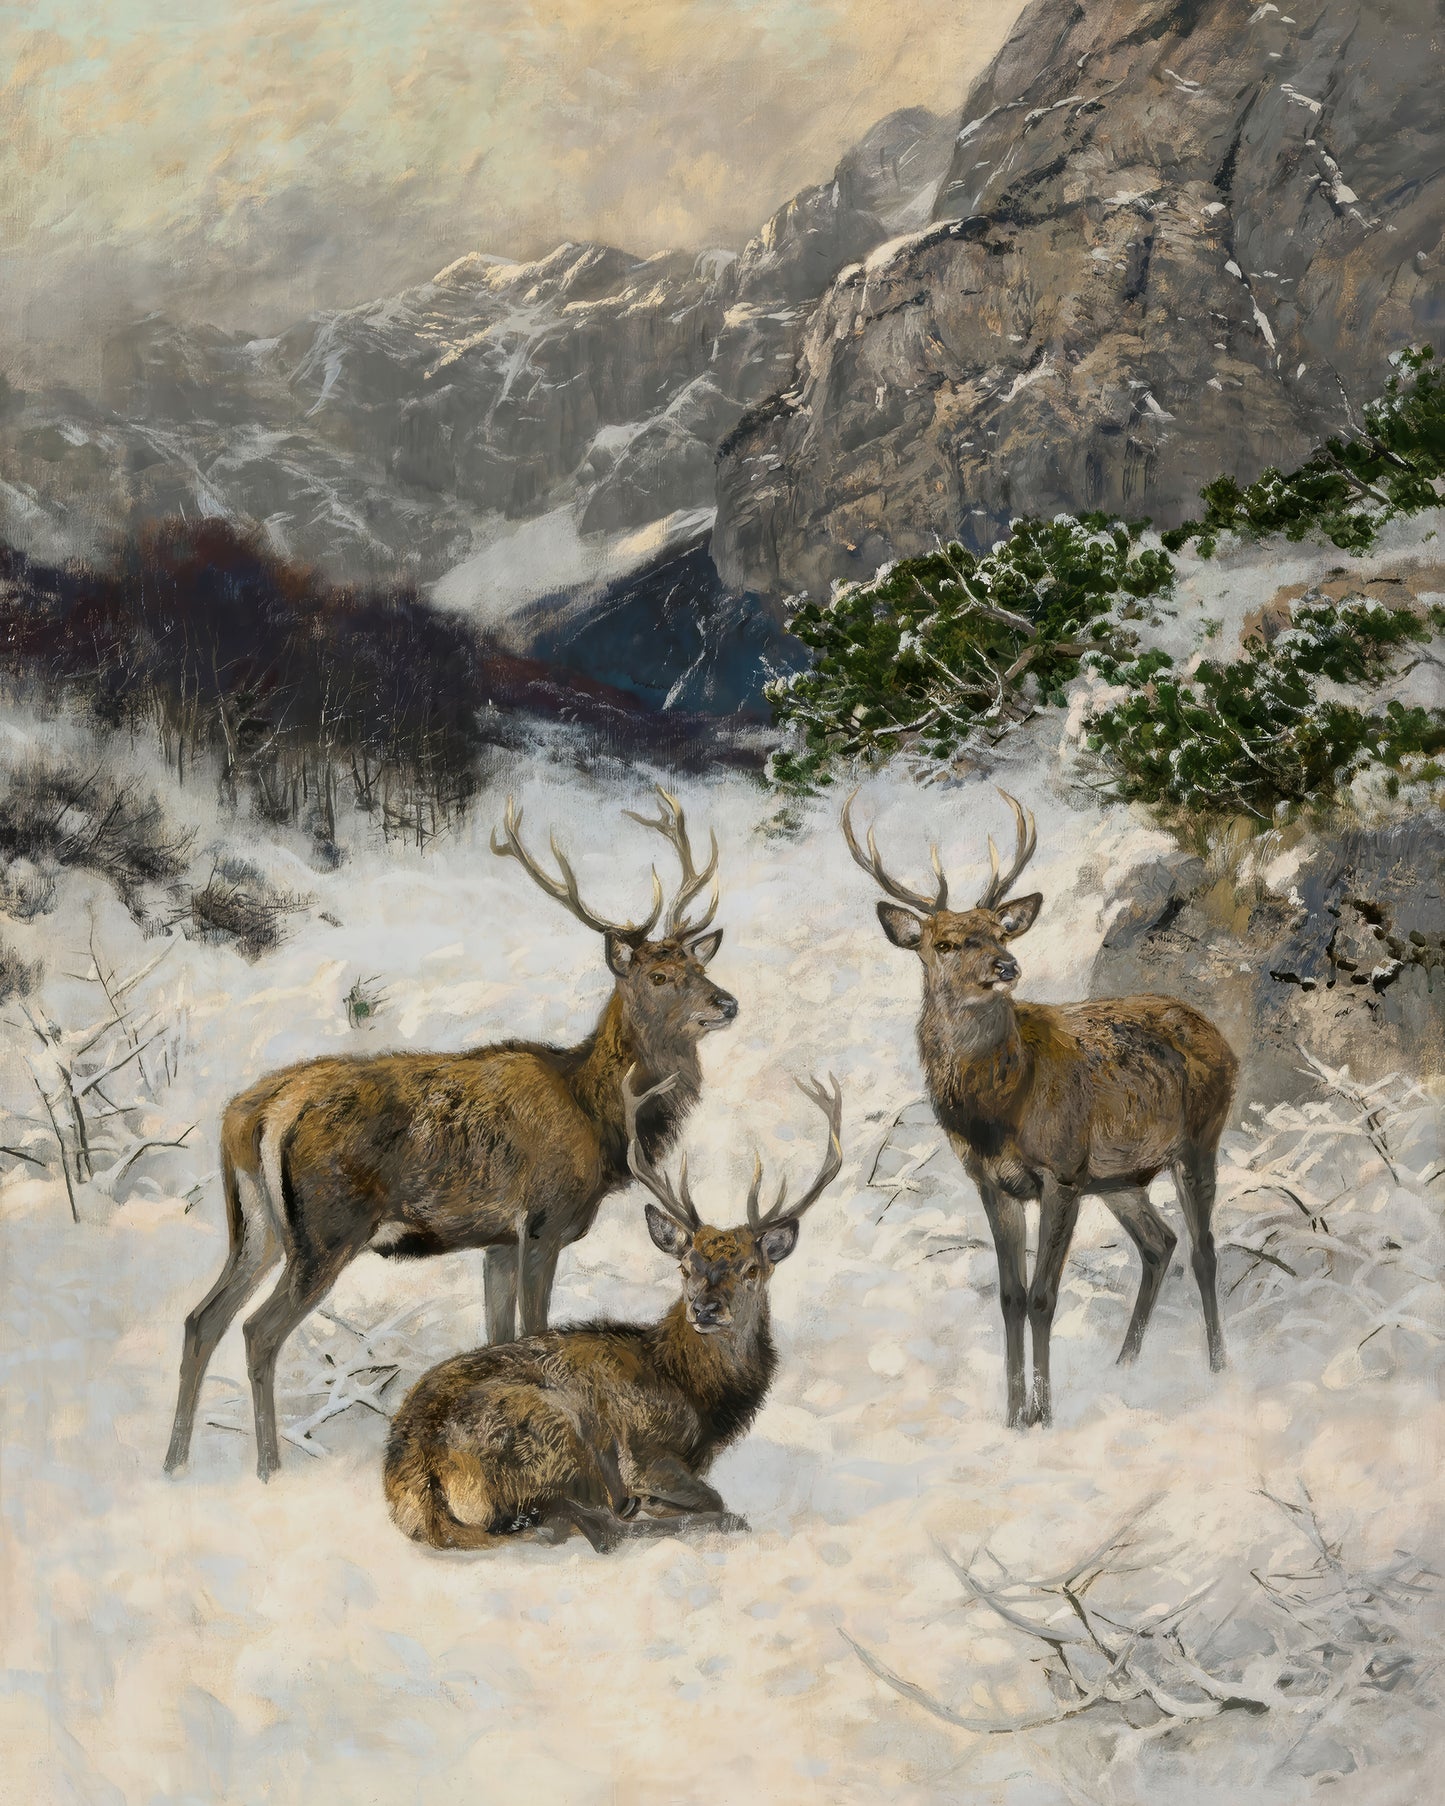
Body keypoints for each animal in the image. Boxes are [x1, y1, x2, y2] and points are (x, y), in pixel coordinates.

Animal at [165, 787, 737, 1482]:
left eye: (695, 964)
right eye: (657, 976)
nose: (727, 1003)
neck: (598, 1122)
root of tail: (254, 1113)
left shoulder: (495, 1241)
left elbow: (499, 1340)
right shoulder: (543, 1221)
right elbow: (536, 1333)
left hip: (256, 1228)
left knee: (202, 1319)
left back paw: (174, 1463)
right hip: (326, 1229)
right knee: (258, 1332)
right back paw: (269, 1470)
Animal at [383, 1067, 844, 1551]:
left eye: (751, 1269)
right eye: (685, 1266)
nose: (705, 1309)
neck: (694, 1391)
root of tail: (416, 1475)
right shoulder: (644, 1451)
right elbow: (711, 1496)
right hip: (552, 1431)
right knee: (596, 1526)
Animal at [842, 789, 1238, 1429]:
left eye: (1001, 934)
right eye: (943, 943)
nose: (1006, 967)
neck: (1000, 1108)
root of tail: (1217, 1032)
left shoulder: (1062, 1169)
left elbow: (1044, 1297)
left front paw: (1044, 1417)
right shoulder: (992, 1181)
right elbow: (1010, 1298)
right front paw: (1011, 1419)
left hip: (1200, 1136)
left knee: (1204, 1251)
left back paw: (1219, 1367)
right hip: (1120, 1176)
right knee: (1160, 1244)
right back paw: (1123, 1366)